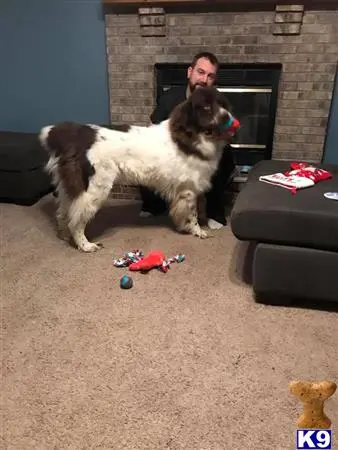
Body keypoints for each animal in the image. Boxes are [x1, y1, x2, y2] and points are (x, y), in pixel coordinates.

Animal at [39, 86, 234, 251]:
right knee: (76, 220)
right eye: (206, 107)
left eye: (222, 104)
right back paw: (85, 245)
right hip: (95, 188)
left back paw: (64, 236)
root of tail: (75, 135)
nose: (227, 117)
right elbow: (192, 214)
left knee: (63, 213)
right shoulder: (188, 189)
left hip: (71, 187)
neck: (193, 137)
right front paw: (197, 231)